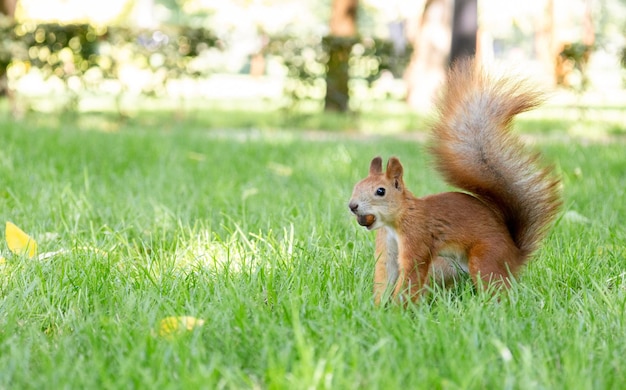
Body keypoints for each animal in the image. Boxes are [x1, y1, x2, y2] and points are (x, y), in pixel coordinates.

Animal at [346, 59, 560, 304]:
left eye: (380, 191)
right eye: (356, 186)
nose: (352, 206)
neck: (396, 220)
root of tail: (515, 254)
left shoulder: (417, 237)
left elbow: (411, 272)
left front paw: (397, 307)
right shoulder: (387, 247)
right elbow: (385, 275)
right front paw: (376, 307)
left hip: (485, 259)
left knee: (497, 287)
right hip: (447, 265)